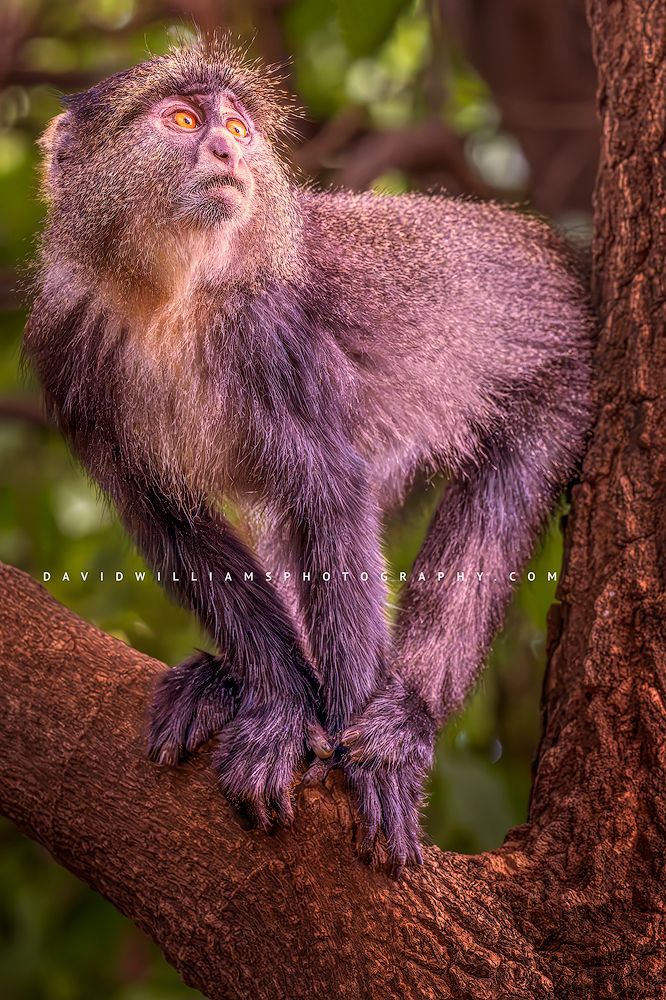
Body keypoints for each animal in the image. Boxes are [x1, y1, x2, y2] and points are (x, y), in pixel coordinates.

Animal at [24, 35, 594, 875]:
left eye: (237, 127)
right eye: (183, 119)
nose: (227, 149)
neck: (168, 299)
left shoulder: (271, 337)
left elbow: (328, 494)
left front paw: (352, 760)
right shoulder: (68, 346)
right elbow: (175, 526)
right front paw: (278, 703)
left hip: (562, 382)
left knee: (492, 511)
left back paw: (401, 722)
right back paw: (226, 683)